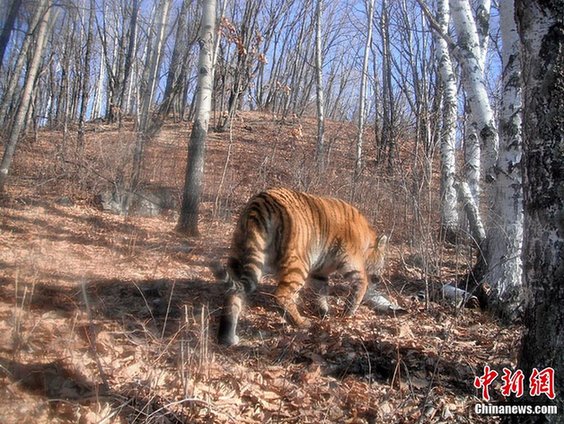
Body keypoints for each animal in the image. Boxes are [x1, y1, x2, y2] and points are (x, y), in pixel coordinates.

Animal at [213, 188, 388, 344]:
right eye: (382, 261)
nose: (379, 279)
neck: (367, 241)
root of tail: (258, 205)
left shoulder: (320, 271)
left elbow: (320, 292)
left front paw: (324, 313)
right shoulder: (351, 262)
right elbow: (360, 285)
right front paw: (347, 313)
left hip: (239, 255)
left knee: (233, 294)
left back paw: (228, 338)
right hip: (298, 264)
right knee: (281, 295)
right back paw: (302, 323)